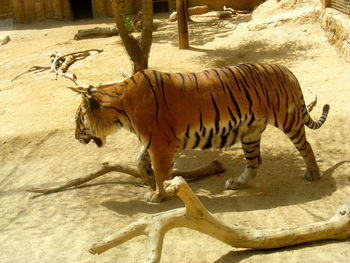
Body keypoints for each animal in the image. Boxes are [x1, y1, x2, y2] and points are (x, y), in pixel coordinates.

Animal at [69, 64, 330, 204]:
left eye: (78, 120)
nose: (75, 137)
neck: (120, 111)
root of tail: (286, 69)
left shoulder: (161, 144)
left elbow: (162, 173)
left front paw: (158, 195)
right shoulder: (155, 141)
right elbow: (139, 158)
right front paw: (146, 176)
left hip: (288, 120)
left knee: (306, 146)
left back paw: (313, 173)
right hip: (250, 132)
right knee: (255, 162)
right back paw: (237, 183)